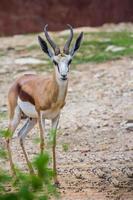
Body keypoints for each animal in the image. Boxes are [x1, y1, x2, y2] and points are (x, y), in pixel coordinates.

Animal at [6, 24, 83, 184]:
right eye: (54, 61)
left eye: (70, 61)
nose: (64, 75)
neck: (52, 96)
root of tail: (18, 81)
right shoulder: (41, 115)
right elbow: (42, 142)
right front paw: (43, 178)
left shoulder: (56, 116)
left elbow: (52, 143)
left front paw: (56, 180)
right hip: (17, 117)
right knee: (8, 137)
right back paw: (15, 176)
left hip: (31, 119)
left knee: (20, 136)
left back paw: (31, 173)